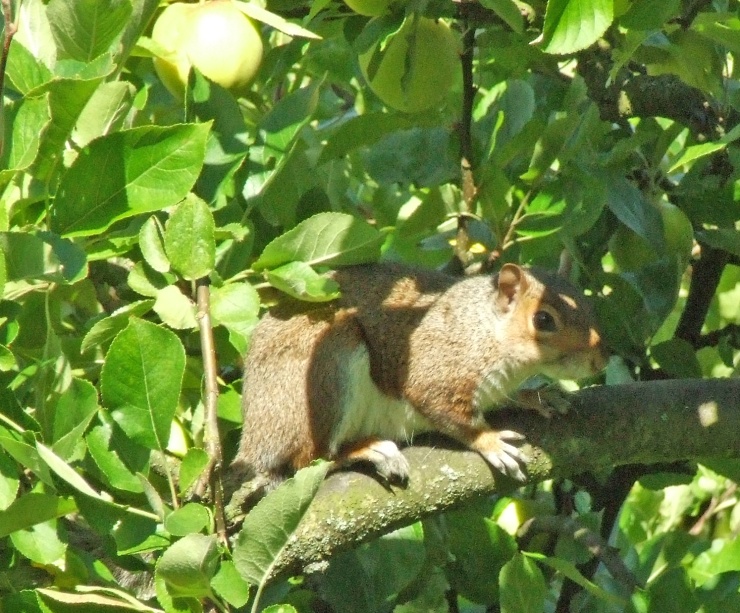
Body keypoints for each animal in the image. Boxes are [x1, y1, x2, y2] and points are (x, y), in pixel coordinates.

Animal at [229, 261, 605, 494]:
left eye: (588, 303)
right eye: (543, 320)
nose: (601, 359)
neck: (486, 329)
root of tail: (254, 442)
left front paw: (540, 396)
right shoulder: (438, 367)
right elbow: (448, 412)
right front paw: (490, 442)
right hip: (325, 369)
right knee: (310, 459)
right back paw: (369, 450)